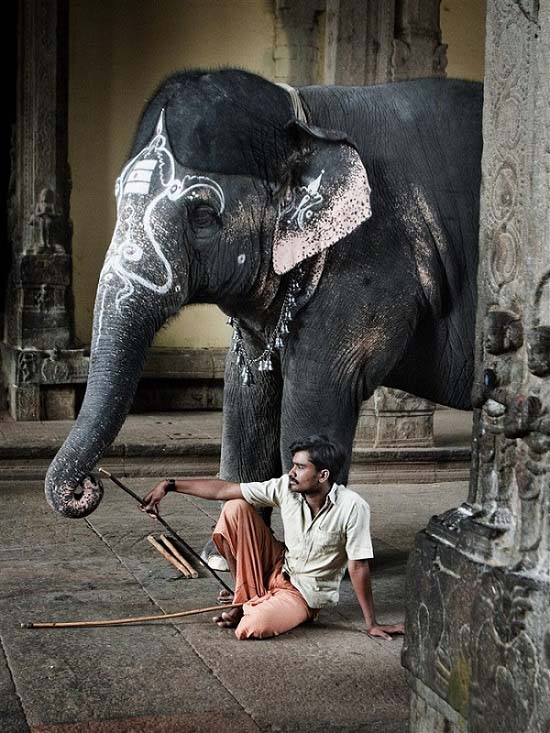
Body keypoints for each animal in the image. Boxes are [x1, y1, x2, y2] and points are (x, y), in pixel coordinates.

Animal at [44, 67, 484, 516]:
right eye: (117, 199)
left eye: (203, 215)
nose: (87, 484)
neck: (304, 121)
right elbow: (245, 405)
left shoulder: (370, 262)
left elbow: (315, 401)